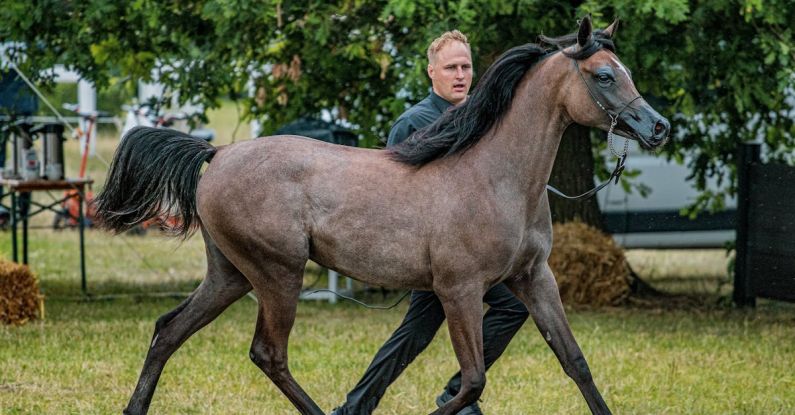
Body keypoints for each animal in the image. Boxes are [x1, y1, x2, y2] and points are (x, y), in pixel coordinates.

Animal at [95, 16, 672, 415]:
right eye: (603, 75)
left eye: (625, 72)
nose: (659, 127)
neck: (495, 176)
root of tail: (216, 154)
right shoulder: (458, 290)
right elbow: (472, 380)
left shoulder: (534, 278)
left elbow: (575, 362)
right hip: (278, 274)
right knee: (268, 353)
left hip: (230, 275)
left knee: (168, 330)